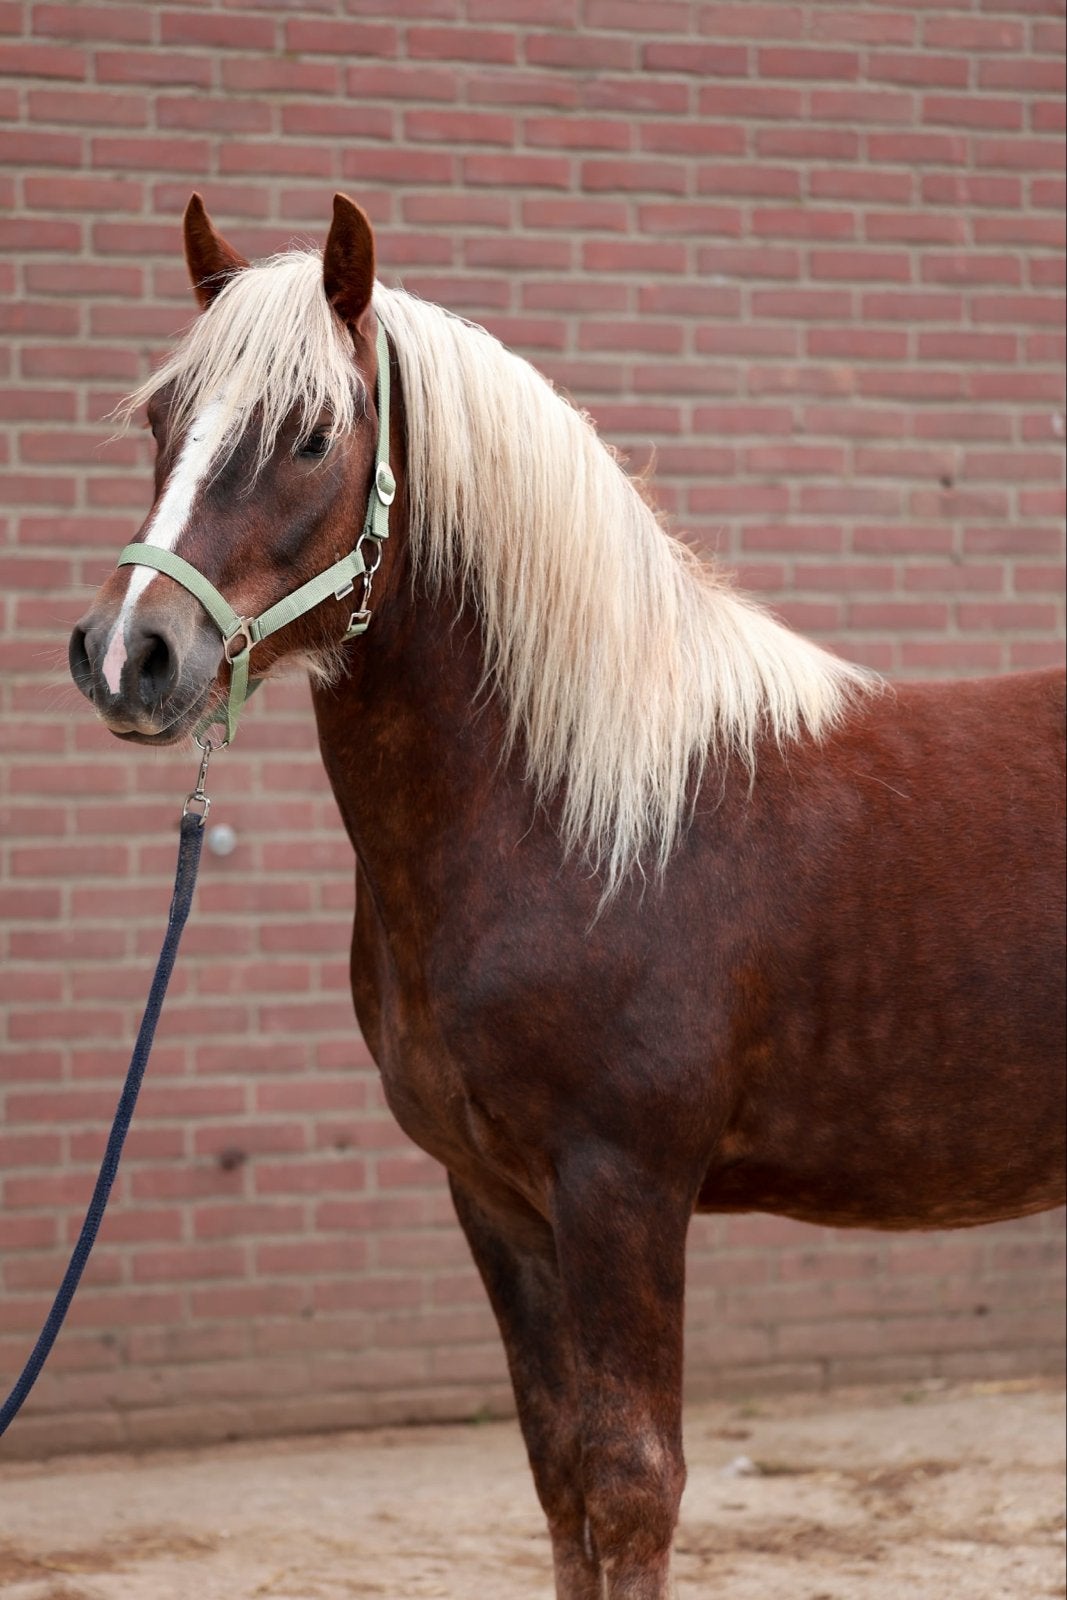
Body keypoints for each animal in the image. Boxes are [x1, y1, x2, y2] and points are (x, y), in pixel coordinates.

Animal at [69, 193, 1065, 1600]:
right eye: (163, 419)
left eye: (313, 433)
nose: (128, 655)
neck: (581, 822)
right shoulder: (496, 1199)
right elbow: (560, 1483)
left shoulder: (622, 1188)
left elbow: (632, 1482)